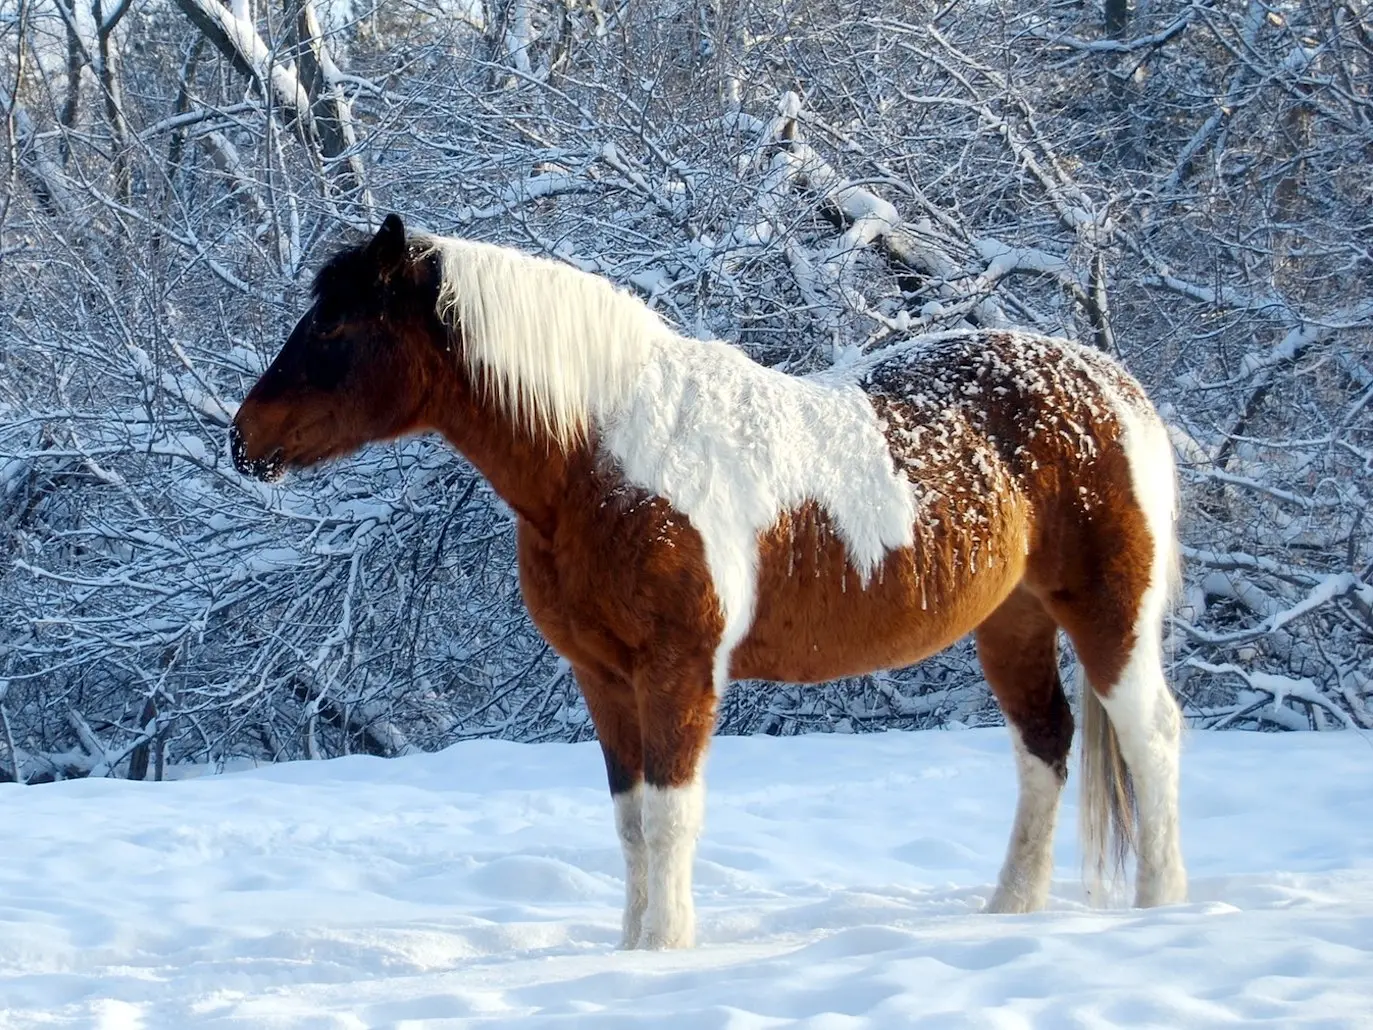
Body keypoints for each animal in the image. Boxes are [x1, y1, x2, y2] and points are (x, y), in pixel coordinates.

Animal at [230, 215, 1186, 950]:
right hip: (1011, 622)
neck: (604, 453)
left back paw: (1157, 906)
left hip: (1110, 614)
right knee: (1045, 746)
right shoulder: (602, 676)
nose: (244, 439)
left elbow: (668, 813)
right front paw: (627, 950)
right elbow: (628, 821)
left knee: (1148, 735)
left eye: (336, 330)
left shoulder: (679, 668)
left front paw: (665, 949)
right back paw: (1009, 910)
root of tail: (1113, 386)